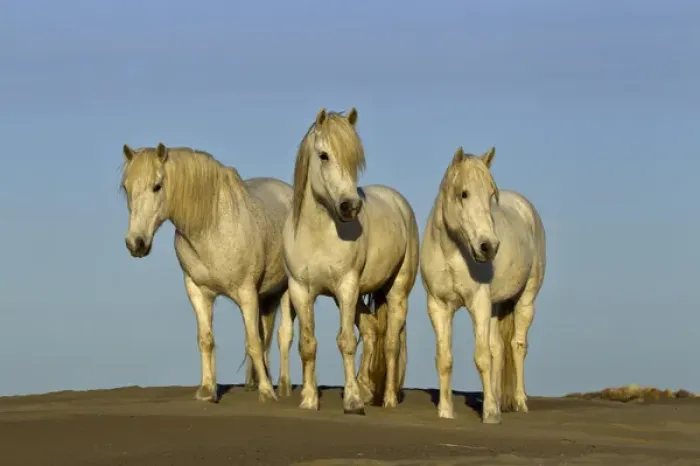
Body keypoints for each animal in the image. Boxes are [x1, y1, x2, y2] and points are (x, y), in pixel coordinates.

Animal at [120, 143, 296, 403]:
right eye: (126, 188)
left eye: (157, 186)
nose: (136, 243)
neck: (212, 228)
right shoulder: (198, 292)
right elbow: (206, 340)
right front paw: (207, 390)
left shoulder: (246, 292)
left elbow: (253, 341)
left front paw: (266, 392)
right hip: (267, 296)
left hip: (286, 291)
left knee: (284, 336)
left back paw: (282, 387)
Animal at [281, 107, 420, 415]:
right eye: (323, 155)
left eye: (354, 159)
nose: (350, 206)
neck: (318, 234)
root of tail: (399, 202)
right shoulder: (300, 290)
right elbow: (308, 344)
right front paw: (309, 400)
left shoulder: (346, 286)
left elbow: (345, 342)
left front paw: (353, 402)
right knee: (370, 331)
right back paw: (368, 389)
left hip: (395, 292)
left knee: (390, 343)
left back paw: (388, 398)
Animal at [419, 146, 546, 424]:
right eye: (463, 193)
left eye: (490, 195)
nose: (489, 247)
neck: (452, 252)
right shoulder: (438, 306)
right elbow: (445, 358)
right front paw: (446, 411)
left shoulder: (478, 302)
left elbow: (482, 357)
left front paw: (489, 414)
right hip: (496, 306)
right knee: (498, 349)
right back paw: (498, 400)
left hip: (525, 300)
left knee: (517, 346)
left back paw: (519, 402)